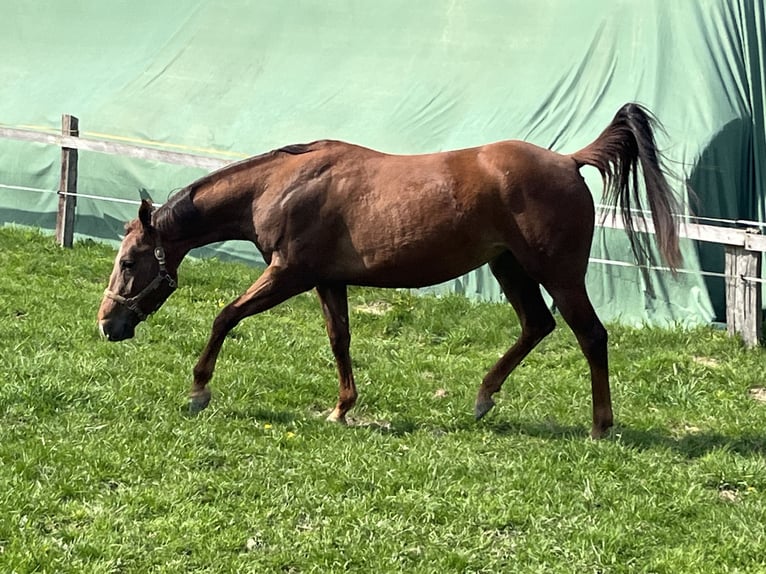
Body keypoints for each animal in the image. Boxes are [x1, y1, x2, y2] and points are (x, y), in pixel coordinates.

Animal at [97, 103, 682, 439]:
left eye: (128, 262)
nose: (107, 324)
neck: (282, 185)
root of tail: (568, 161)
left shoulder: (288, 274)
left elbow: (225, 316)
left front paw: (199, 391)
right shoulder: (327, 281)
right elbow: (340, 340)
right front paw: (341, 408)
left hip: (557, 273)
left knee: (591, 335)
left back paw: (601, 426)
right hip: (509, 267)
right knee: (537, 326)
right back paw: (483, 398)